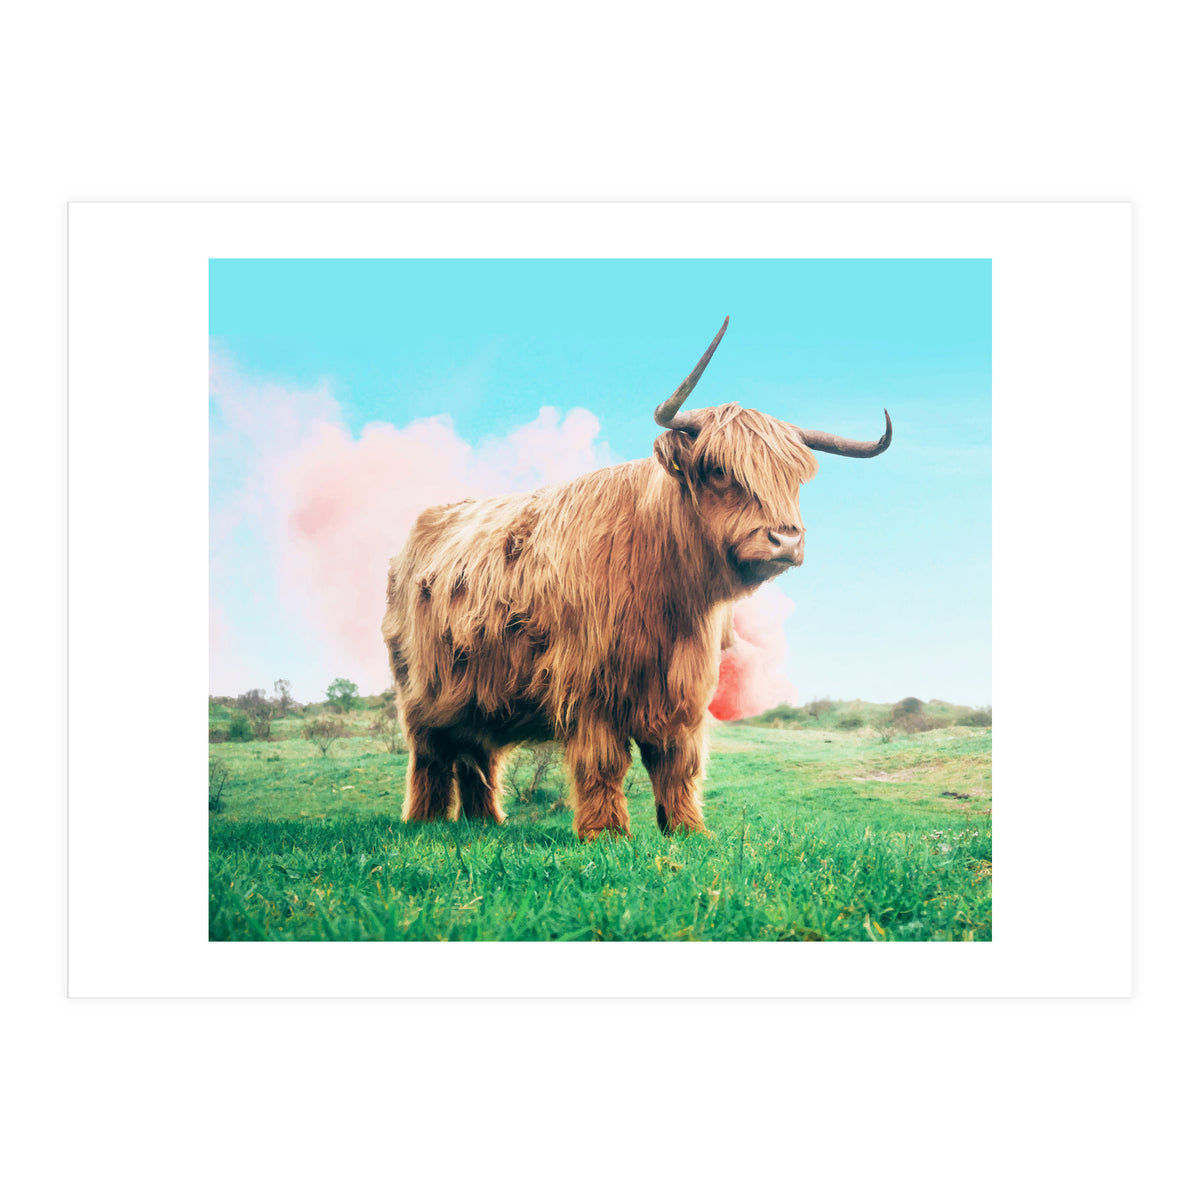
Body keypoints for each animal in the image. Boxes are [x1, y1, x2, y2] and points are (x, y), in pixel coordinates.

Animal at [381, 319, 892, 839]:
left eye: (793, 480)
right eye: (719, 470)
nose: (786, 540)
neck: (668, 594)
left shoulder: (683, 689)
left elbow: (677, 762)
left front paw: (688, 829)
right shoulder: (589, 684)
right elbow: (603, 762)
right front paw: (606, 833)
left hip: (477, 692)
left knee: (476, 753)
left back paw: (485, 822)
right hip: (422, 691)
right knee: (431, 754)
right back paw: (425, 821)